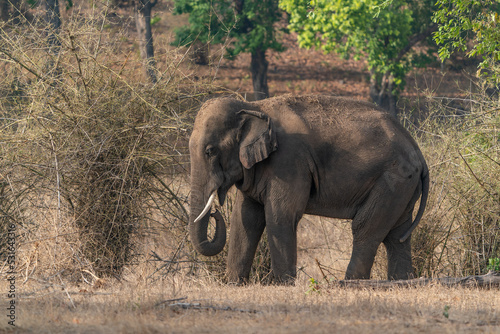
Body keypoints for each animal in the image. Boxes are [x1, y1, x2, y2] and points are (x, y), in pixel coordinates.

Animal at [188, 94, 430, 284]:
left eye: (210, 151)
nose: (215, 212)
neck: (253, 107)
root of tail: (418, 151)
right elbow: (245, 218)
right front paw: (234, 284)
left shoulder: (289, 161)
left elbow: (280, 216)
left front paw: (283, 285)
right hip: (403, 187)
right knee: (397, 236)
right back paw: (401, 281)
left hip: (392, 181)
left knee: (365, 229)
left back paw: (349, 284)